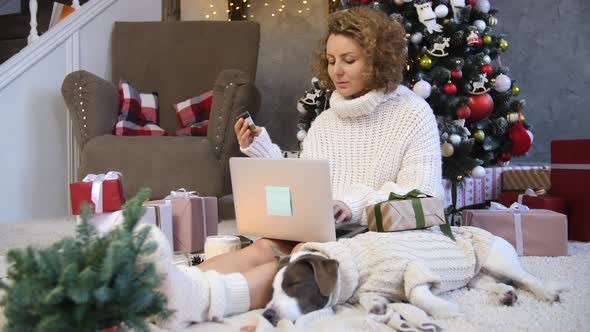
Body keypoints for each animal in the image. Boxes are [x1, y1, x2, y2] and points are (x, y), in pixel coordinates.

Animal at [264, 227, 568, 326]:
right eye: (272, 290)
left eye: (294, 284)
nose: (266, 314)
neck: (356, 265)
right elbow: (369, 298)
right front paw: (377, 306)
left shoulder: (414, 269)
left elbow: (418, 295)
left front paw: (445, 310)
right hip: (476, 276)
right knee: (493, 283)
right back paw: (505, 294)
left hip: (499, 260)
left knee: (526, 278)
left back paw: (547, 292)